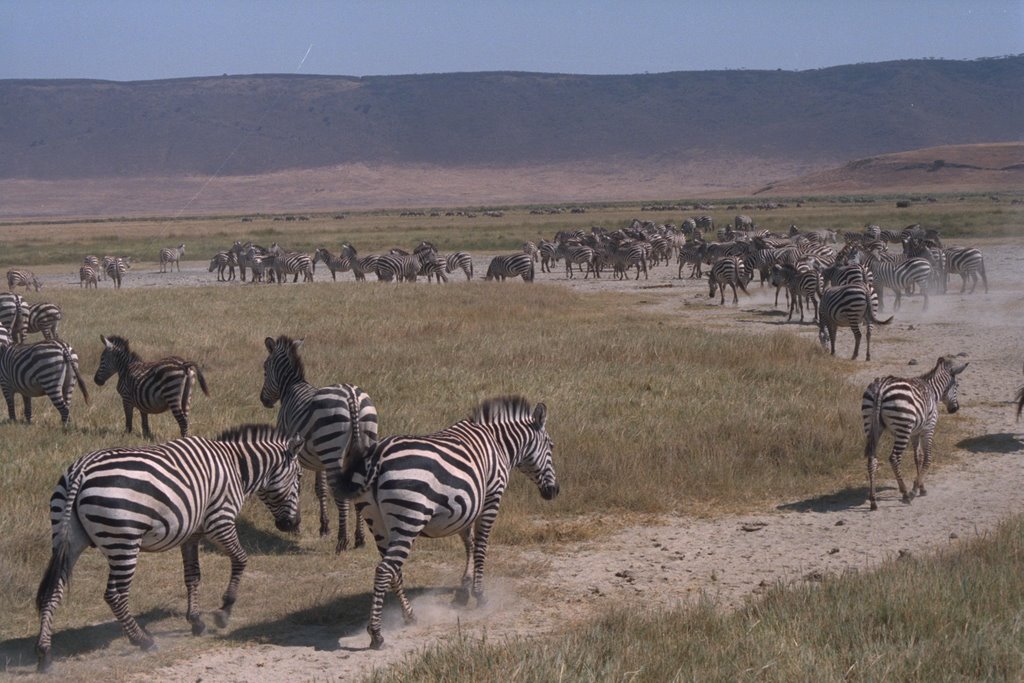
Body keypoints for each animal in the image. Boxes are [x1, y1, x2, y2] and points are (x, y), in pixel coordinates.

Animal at [33, 423, 303, 671]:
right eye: (300, 477)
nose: (293, 524)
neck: (236, 466)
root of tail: (82, 469)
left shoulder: (191, 534)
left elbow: (193, 575)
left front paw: (196, 622)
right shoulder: (220, 520)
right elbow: (240, 559)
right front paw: (224, 611)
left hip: (67, 538)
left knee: (53, 591)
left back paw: (45, 654)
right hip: (123, 541)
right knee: (114, 594)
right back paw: (143, 641)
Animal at [260, 335, 380, 557]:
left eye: (265, 368)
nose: (264, 400)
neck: (292, 387)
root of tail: (351, 396)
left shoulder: (292, 451)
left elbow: (296, 485)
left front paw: (296, 525)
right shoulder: (319, 460)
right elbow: (320, 489)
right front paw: (324, 527)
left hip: (333, 450)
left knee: (341, 496)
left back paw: (342, 541)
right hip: (363, 440)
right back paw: (359, 539)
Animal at [333, 397, 561, 651]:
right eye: (551, 446)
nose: (554, 491)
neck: (499, 443)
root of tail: (377, 456)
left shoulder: (467, 505)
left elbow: (469, 544)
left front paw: (464, 590)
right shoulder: (492, 497)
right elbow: (481, 547)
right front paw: (480, 595)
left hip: (377, 521)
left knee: (394, 570)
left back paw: (410, 616)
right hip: (409, 518)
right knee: (385, 570)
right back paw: (377, 634)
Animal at [864, 356, 966, 509]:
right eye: (957, 386)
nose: (955, 409)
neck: (932, 390)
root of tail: (881, 387)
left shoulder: (915, 432)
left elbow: (918, 456)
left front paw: (921, 487)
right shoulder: (928, 428)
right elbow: (927, 458)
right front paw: (915, 489)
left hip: (871, 427)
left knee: (872, 459)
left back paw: (873, 500)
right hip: (903, 428)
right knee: (894, 458)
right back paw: (905, 494)